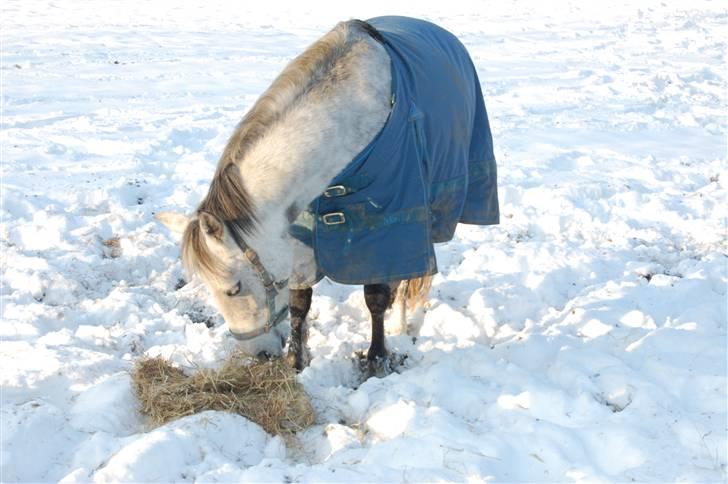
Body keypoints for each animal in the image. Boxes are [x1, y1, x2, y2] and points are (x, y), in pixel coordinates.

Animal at [158, 17, 500, 376]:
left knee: (410, 278)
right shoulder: (299, 230)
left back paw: (399, 323)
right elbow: (300, 301)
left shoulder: (388, 224)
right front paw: (296, 362)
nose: (259, 354)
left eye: (233, 289)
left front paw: (376, 359)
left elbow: (376, 296)